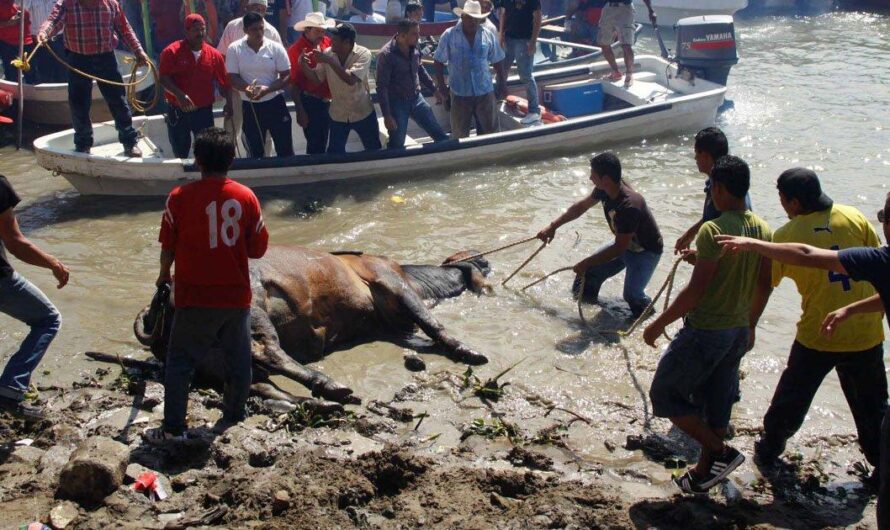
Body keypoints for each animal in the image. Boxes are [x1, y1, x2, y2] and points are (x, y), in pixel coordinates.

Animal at [134, 243, 490, 412]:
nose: (488, 263)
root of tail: (163, 302)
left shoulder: (388, 325)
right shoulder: (392, 283)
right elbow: (432, 324)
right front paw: (466, 350)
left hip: (214, 360)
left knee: (257, 384)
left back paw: (314, 402)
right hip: (252, 311)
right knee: (269, 353)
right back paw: (328, 385)